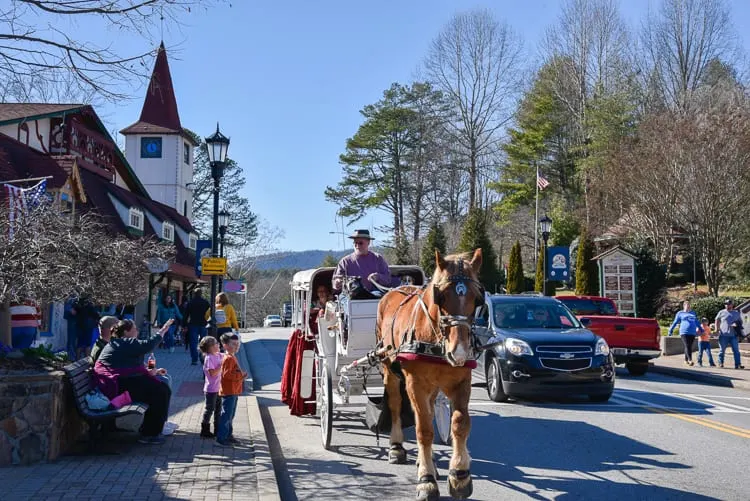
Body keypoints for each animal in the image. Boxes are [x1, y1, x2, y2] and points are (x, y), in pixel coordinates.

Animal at [376, 249, 488, 500]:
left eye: (477, 298)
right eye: (441, 297)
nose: (459, 351)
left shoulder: (462, 381)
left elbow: (460, 423)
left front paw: (459, 475)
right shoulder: (415, 383)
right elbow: (424, 430)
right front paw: (426, 481)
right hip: (389, 368)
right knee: (397, 405)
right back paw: (396, 447)